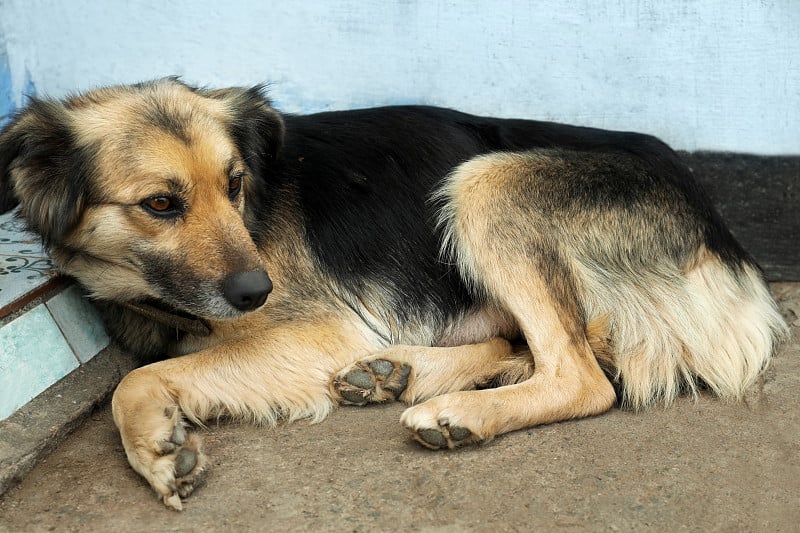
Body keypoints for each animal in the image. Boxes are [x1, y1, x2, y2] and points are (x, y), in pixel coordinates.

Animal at [0, 78, 788, 508]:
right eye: (161, 204)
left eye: (235, 185)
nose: (257, 290)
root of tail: (715, 222)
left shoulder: (310, 327)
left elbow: (132, 382)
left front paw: (158, 447)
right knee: (527, 344)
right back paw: (399, 373)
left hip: (487, 180)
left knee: (583, 376)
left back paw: (456, 410)